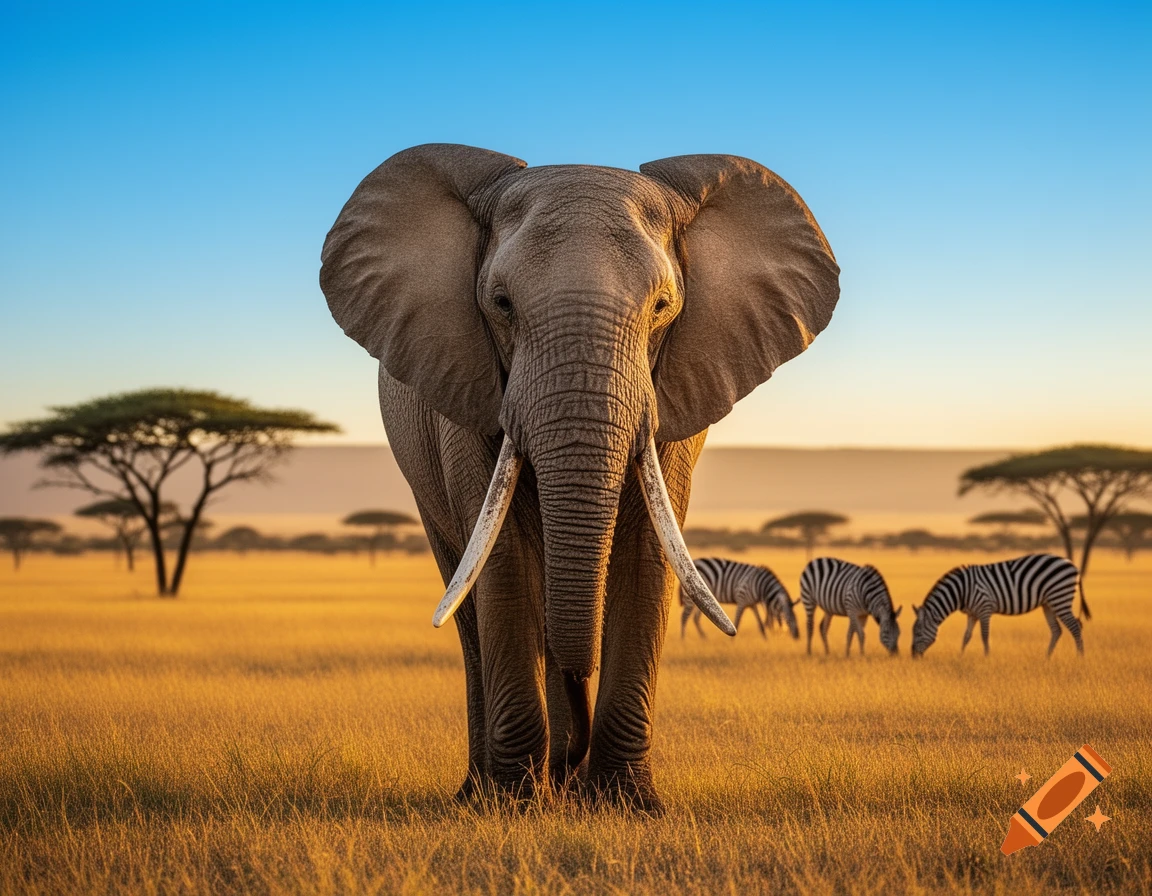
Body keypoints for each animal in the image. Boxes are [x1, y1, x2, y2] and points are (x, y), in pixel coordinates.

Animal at [320, 144, 839, 812]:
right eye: (501, 304)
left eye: (663, 307)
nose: (571, 764)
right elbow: (504, 563)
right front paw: (515, 804)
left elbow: (648, 554)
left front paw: (628, 805)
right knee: (466, 602)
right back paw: (483, 793)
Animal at [910, 553, 1082, 658]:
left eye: (917, 633)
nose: (913, 657)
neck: (961, 591)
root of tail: (1072, 564)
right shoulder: (972, 614)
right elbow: (966, 637)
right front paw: (960, 657)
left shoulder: (984, 608)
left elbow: (984, 636)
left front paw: (987, 658)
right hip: (1048, 603)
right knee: (1057, 630)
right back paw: (1046, 658)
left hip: (1060, 597)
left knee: (1075, 627)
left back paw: (1080, 658)